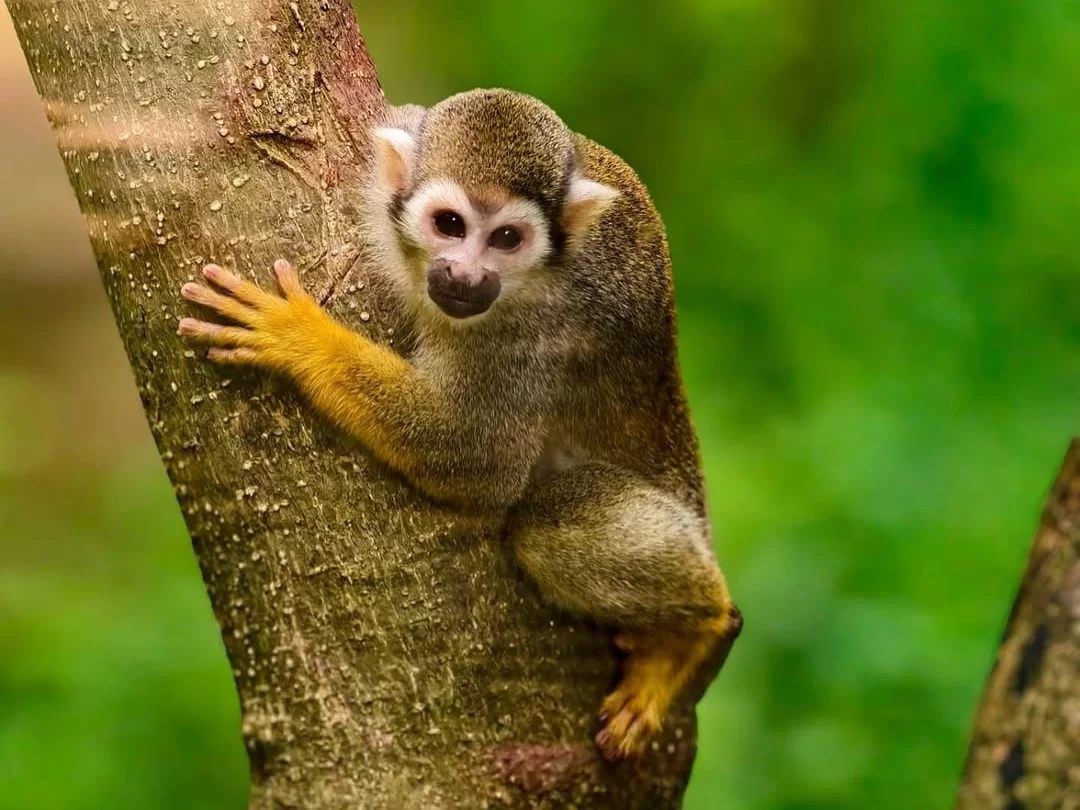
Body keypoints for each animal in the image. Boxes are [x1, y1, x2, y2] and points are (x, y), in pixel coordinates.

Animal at [177, 88, 742, 762]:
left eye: (507, 238)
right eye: (450, 225)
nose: (466, 276)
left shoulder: (527, 332)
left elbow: (476, 458)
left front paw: (301, 338)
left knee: (547, 520)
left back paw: (701, 628)